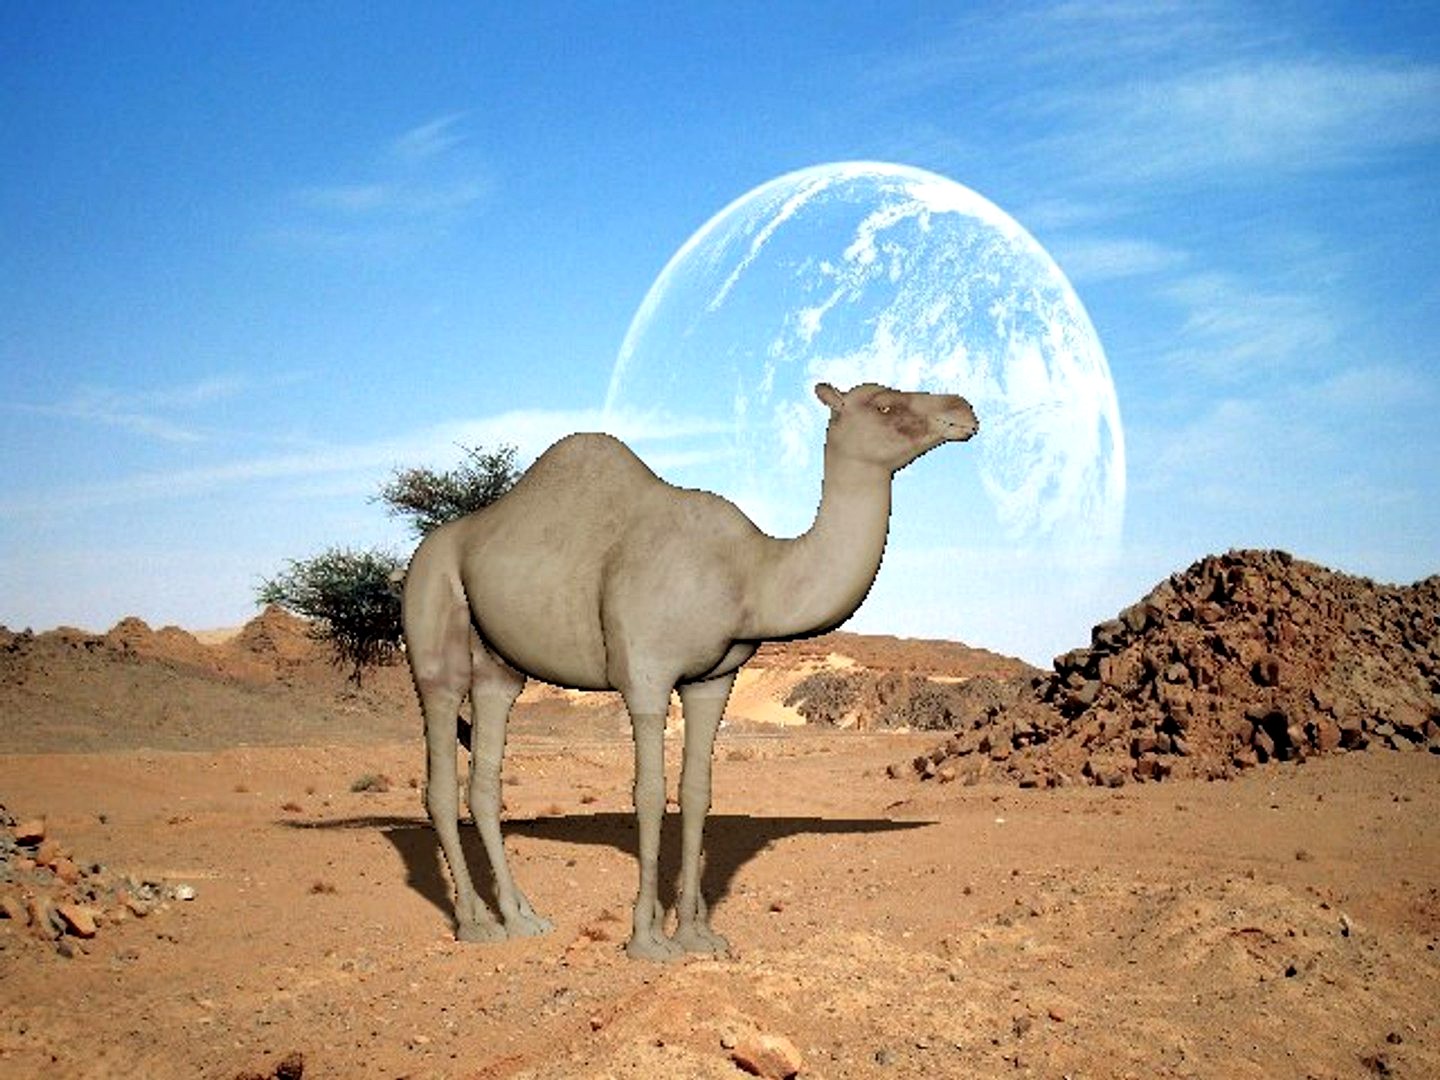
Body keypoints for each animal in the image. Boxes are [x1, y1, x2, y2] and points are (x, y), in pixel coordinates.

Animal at [402, 381, 978, 961]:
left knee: (486, 772)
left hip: (498, 663)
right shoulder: (647, 674)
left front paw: (699, 935)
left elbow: (698, 792)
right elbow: (650, 794)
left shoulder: (713, 680)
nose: (964, 412)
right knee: (440, 759)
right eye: (884, 404)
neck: (751, 574)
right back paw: (476, 924)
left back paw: (524, 919)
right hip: (433, 602)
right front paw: (647, 940)